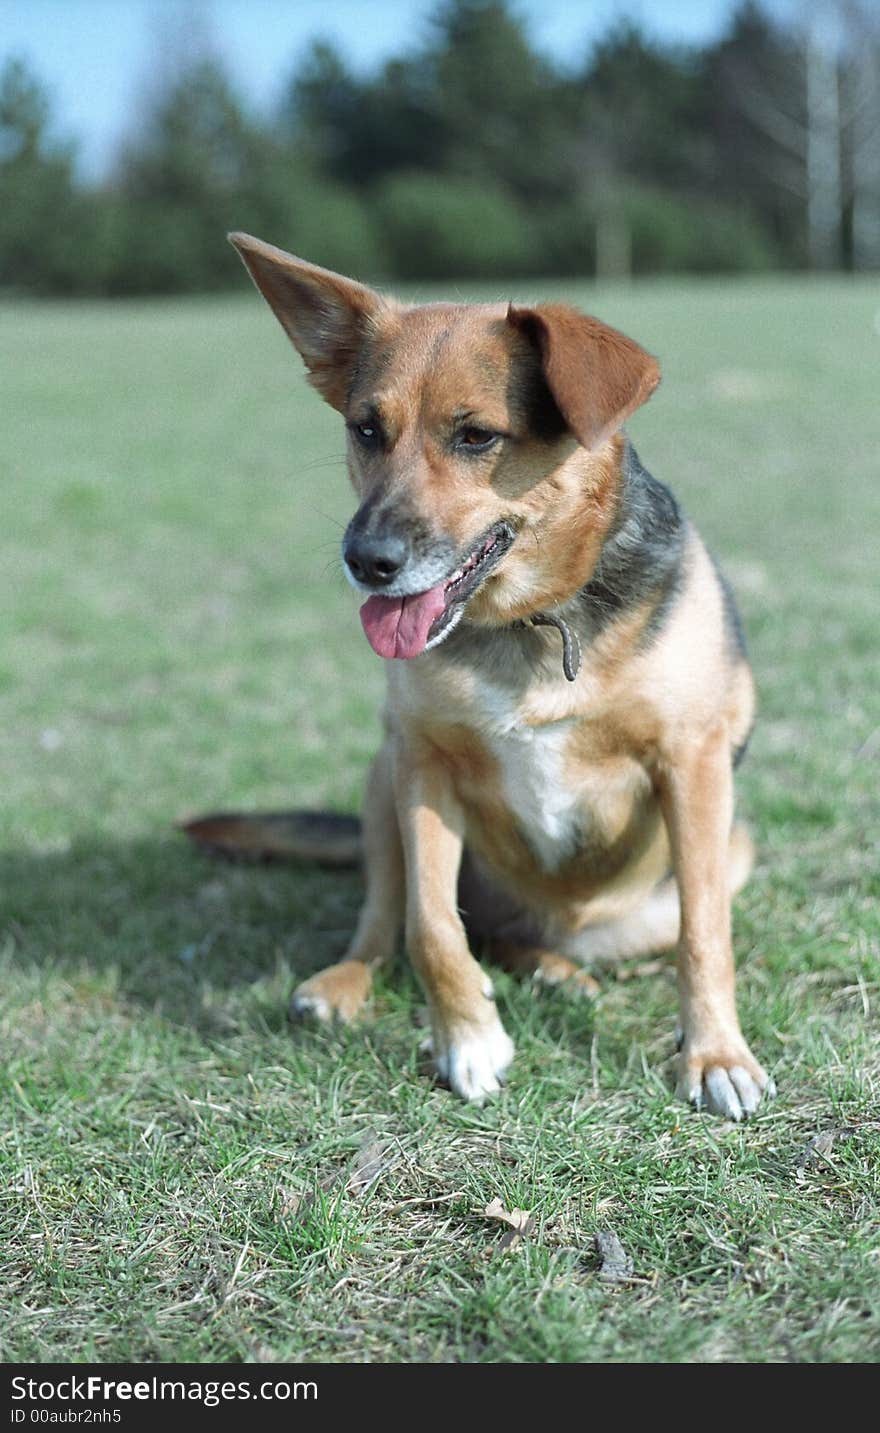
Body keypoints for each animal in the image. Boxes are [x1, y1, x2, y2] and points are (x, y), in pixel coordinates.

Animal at [194, 232, 779, 1117]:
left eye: (476, 437)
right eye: (367, 428)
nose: (366, 560)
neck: (531, 622)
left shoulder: (694, 763)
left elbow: (705, 932)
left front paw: (714, 1056)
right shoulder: (423, 764)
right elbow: (431, 925)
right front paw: (468, 1039)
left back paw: (559, 972)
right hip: (379, 778)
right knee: (391, 918)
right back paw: (349, 982)